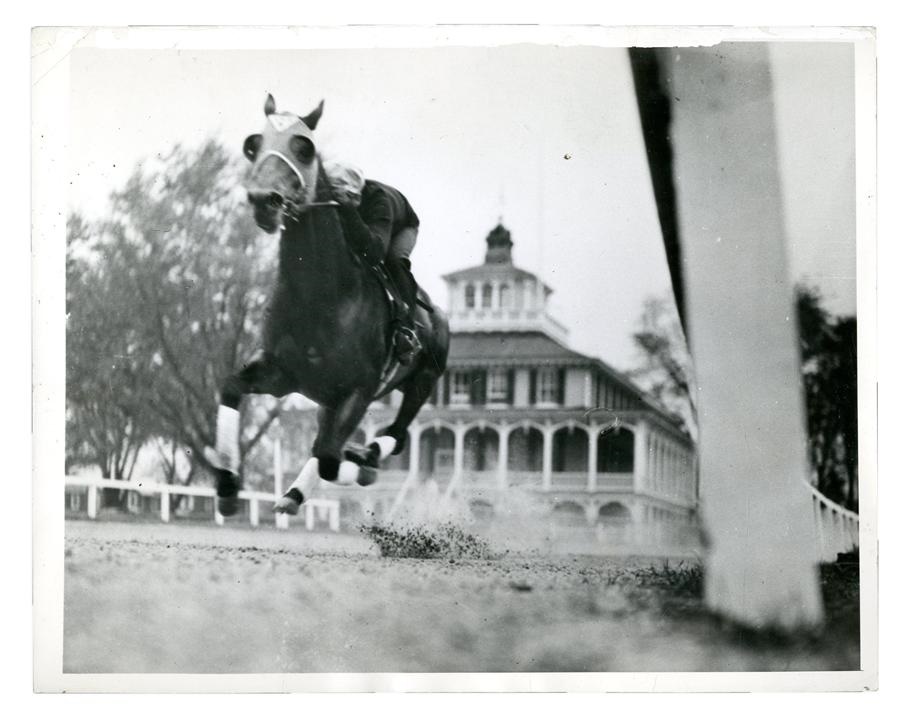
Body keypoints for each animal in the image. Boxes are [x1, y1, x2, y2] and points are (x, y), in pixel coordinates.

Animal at [209, 95, 450, 516]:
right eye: (253, 144)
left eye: (304, 147)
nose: (264, 200)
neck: (319, 297)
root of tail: (440, 316)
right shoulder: (282, 374)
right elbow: (231, 387)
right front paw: (226, 486)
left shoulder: (359, 391)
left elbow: (328, 459)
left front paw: (363, 464)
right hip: (327, 401)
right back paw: (294, 494)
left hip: (423, 381)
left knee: (397, 435)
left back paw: (366, 456)